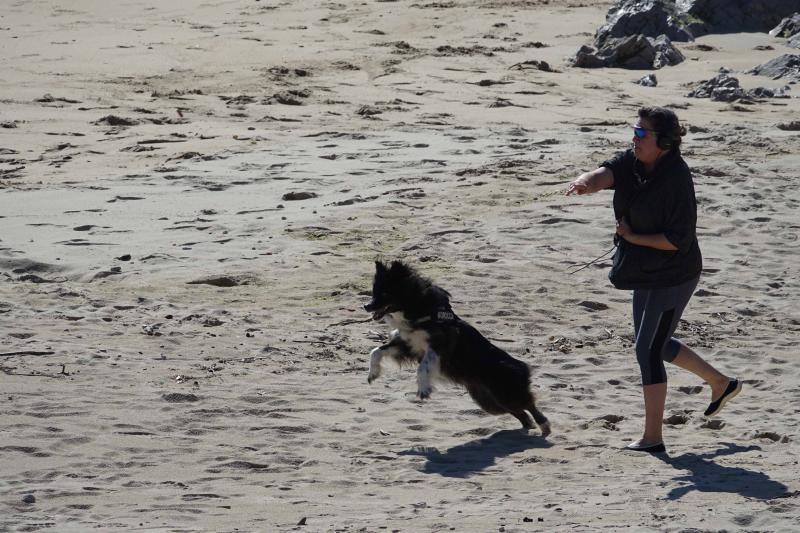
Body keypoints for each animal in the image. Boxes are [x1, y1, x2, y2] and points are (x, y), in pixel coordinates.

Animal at [364, 260, 548, 434]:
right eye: (374, 292)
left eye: (385, 293)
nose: (365, 306)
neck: (421, 313)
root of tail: (523, 368)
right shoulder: (406, 345)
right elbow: (376, 351)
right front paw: (373, 374)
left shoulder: (438, 347)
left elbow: (422, 367)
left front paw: (423, 390)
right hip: (490, 401)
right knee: (520, 411)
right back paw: (528, 426)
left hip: (506, 393)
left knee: (528, 404)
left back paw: (544, 425)